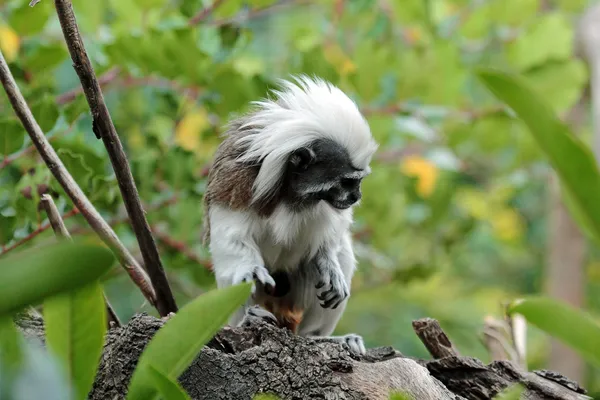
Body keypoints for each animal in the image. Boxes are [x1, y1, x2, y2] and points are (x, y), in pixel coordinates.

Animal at [202, 76, 380, 354]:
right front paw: (251, 273)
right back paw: (248, 318)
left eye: (358, 182)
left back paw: (317, 336)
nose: (356, 196)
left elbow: (332, 239)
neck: (294, 194)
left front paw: (328, 263)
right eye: (348, 182)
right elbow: (232, 242)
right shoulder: (235, 185)